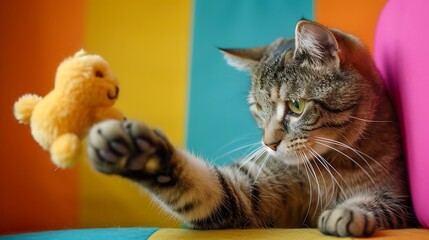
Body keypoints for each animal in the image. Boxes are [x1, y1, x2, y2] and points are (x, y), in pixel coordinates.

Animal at [87, 20, 414, 236]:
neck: (330, 167)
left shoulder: (398, 199)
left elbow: (375, 203)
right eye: (258, 108)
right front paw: (140, 155)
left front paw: (348, 212)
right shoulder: (247, 193)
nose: (269, 144)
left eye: (296, 106)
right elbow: (208, 186)